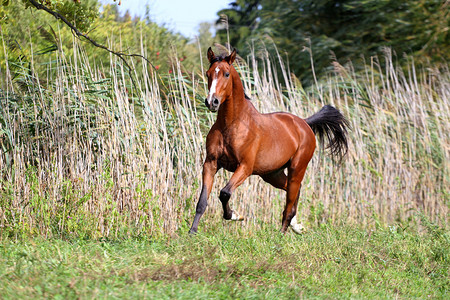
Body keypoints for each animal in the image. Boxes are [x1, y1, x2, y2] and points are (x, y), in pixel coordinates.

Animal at [188, 47, 350, 234]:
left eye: (226, 74)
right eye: (208, 74)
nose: (211, 102)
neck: (231, 125)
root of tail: (304, 123)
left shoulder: (245, 167)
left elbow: (225, 192)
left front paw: (235, 215)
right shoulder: (211, 163)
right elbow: (202, 200)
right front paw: (192, 232)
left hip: (297, 169)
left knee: (290, 200)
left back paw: (283, 233)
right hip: (272, 174)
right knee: (293, 193)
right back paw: (296, 226)